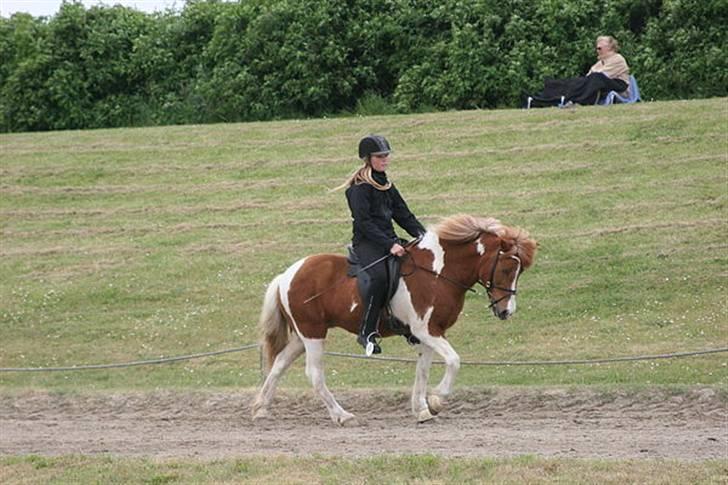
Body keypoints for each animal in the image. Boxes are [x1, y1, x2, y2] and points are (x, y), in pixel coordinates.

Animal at [250, 214, 536, 422]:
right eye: (507, 269)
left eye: (519, 271)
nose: (506, 311)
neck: (437, 273)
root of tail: (287, 274)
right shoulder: (427, 330)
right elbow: (454, 361)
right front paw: (436, 401)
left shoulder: (430, 333)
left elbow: (423, 370)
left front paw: (421, 409)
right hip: (313, 334)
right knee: (314, 374)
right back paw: (342, 415)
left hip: (303, 335)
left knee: (279, 364)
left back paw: (261, 408)